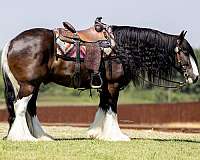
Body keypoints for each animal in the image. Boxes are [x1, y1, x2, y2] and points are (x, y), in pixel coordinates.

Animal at [1, 19, 198, 141]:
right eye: (184, 51)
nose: (195, 76)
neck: (120, 48)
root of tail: (12, 42)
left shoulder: (105, 87)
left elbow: (103, 107)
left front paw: (96, 133)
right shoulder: (113, 85)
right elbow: (112, 109)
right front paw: (117, 136)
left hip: (33, 85)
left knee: (30, 108)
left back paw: (41, 136)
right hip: (29, 85)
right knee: (20, 107)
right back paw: (23, 137)